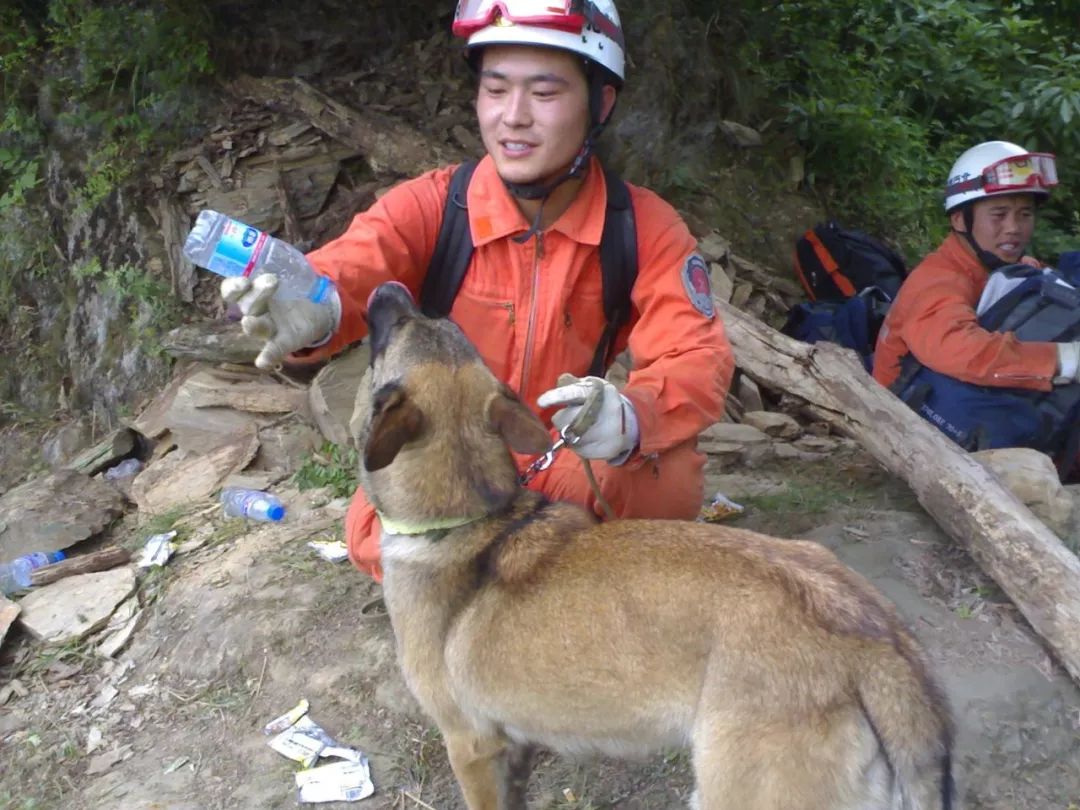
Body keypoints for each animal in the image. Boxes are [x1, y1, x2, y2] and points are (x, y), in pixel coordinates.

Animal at [360, 280, 954, 810]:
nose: (387, 288)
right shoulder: (515, 748)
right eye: (444, 323)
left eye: (393, 333)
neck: (477, 513)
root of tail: (877, 648)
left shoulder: (472, 747)